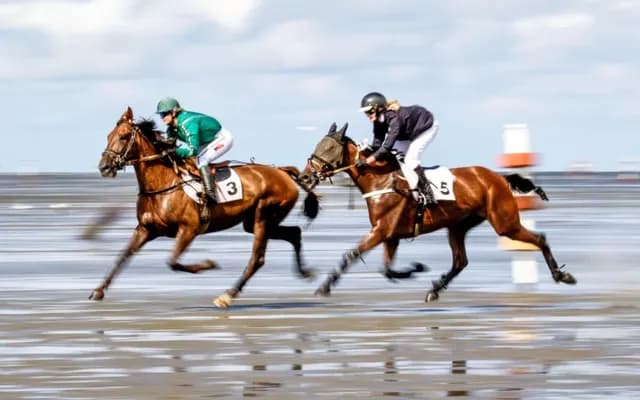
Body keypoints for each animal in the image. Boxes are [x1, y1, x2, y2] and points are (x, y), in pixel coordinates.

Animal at [94, 107, 319, 308]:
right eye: (108, 136)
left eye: (123, 137)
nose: (104, 167)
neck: (162, 184)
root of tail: (282, 171)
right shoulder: (145, 229)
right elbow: (122, 256)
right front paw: (99, 290)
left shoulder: (189, 229)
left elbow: (173, 262)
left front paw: (207, 265)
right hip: (253, 222)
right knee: (294, 233)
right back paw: (305, 272)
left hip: (264, 217)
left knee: (258, 259)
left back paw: (227, 295)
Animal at [298, 123, 576, 302]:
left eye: (328, 148)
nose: (304, 177)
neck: (381, 180)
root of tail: (497, 177)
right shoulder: (391, 235)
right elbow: (386, 269)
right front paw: (416, 268)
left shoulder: (381, 231)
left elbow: (351, 255)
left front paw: (324, 288)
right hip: (458, 226)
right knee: (460, 261)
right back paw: (435, 289)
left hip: (504, 221)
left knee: (539, 238)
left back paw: (562, 275)